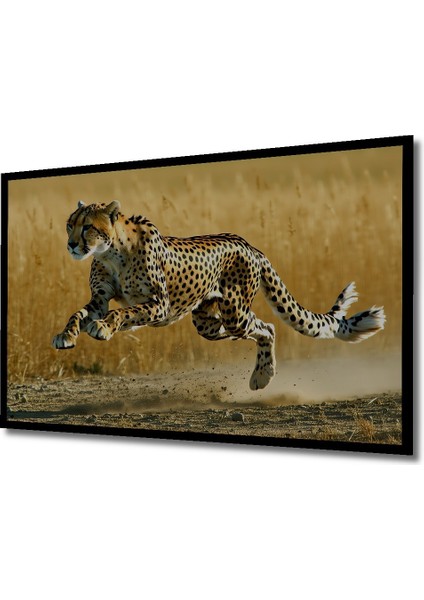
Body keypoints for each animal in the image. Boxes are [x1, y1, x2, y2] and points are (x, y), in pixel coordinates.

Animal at [52, 201, 386, 390]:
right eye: (69, 225)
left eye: (87, 227)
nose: (71, 244)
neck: (111, 252)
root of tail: (248, 244)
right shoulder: (100, 298)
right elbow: (79, 313)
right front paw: (67, 335)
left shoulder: (159, 305)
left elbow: (121, 311)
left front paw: (104, 327)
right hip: (208, 322)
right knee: (244, 329)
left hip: (234, 313)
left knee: (267, 327)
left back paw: (263, 376)